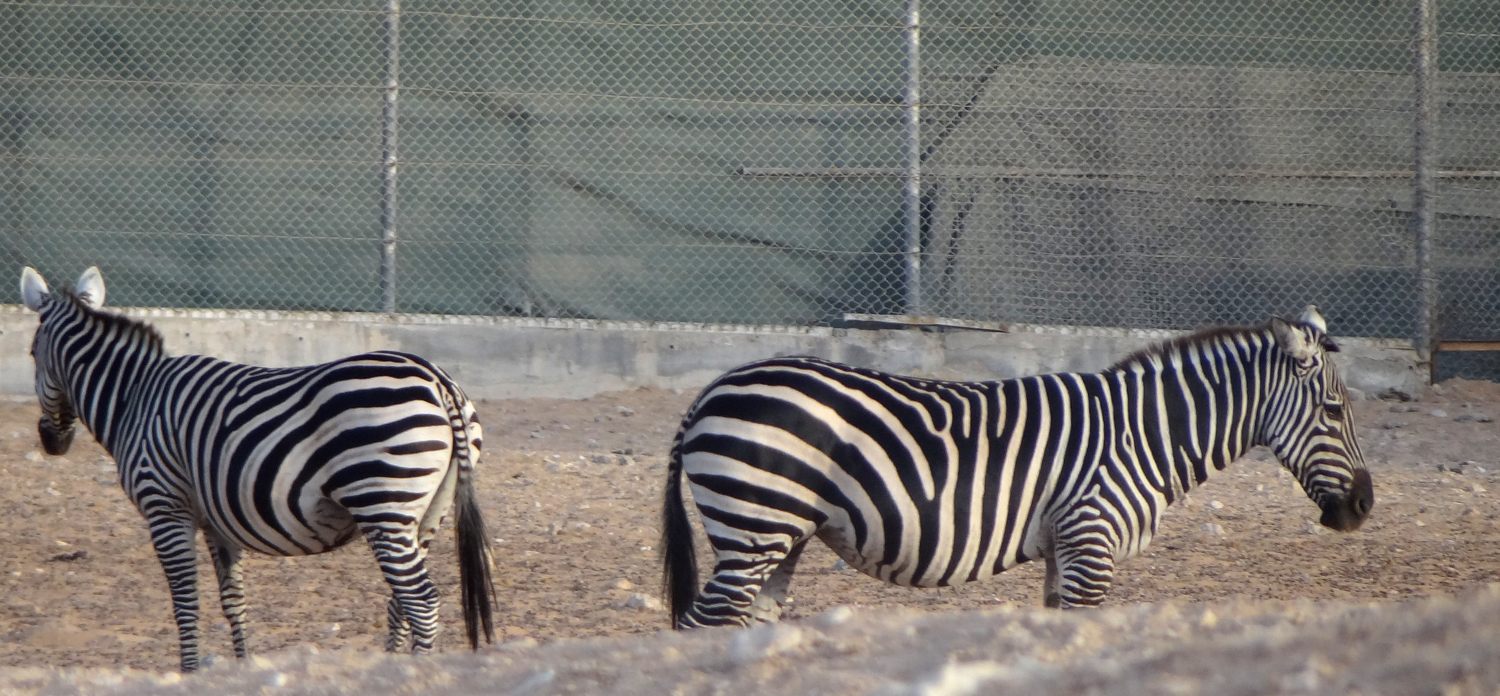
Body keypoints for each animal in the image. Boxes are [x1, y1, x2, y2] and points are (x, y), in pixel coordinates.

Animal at [19, 265, 498, 669]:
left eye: (30, 354)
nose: (50, 442)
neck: (134, 397)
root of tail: (437, 378)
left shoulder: (165, 507)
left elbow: (185, 603)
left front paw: (189, 672)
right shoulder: (216, 520)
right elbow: (234, 602)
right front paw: (242, 668)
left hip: (383, 502)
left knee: (422, 602)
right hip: (427, 510)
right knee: (402, 601)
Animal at [663, 307, 1374, 627]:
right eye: (1335, 412)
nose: (1366, 506)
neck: (1143, 435)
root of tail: (710, 391)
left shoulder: (1067, 548)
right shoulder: (1091, 541)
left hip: (779, 539)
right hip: (754, 526)